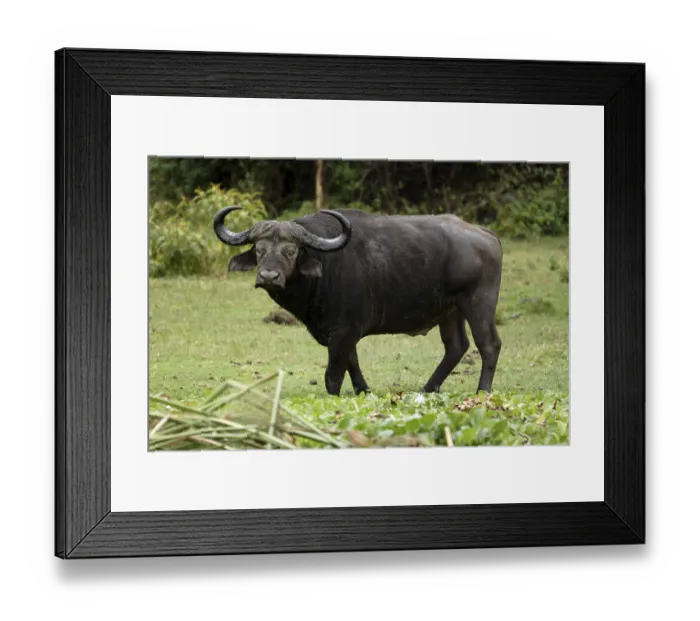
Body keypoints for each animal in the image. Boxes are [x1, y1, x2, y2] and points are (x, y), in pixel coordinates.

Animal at [214, 207, 503, 396]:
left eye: (291, 250)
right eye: (259, 250)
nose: (269, 276)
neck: (325, 266)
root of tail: (486, 234)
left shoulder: (343, 332)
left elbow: (333, 375)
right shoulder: (344, 333)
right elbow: (352, 363)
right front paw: (363, 390)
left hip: (478, 303)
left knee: (489, 344)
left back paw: (482, 391)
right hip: (450, 311)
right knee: (456, 346)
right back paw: (427, 389)